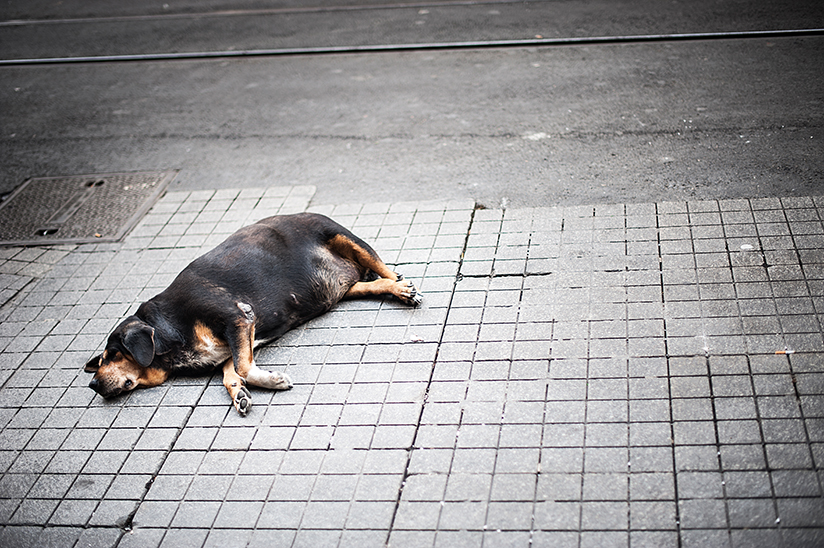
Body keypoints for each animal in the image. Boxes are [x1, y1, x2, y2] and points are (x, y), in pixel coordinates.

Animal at [83, 213, 422, 416]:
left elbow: (243, 368)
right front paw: (243, 393)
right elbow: (232, 374)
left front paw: (272, 380)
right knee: (374, 283)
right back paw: (395, 288)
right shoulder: (233, 344)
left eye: (113, 355)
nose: (92, 385)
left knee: (386, 269)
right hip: (346, 288)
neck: (169, 328)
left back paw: (403, 289)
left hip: (342, 236)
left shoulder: (238, 317)